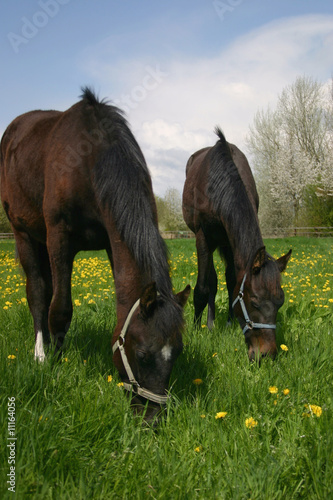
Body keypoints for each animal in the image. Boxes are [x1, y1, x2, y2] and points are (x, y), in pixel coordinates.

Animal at [0, 88, 189, 420]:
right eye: (143, 353)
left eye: (176, 351)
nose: (152, 417)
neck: (88, 161)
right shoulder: (59, 237)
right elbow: (60, 309)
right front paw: (56, 363)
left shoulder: (113, 240)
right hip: (24, 234)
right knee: (38, 294)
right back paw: (40, 353)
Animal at [182, 128, 290, 360]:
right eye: (255, 302)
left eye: (280, 301)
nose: (265, 354)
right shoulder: (203, 238)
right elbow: (202, 287)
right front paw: (196, 328)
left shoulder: (231, 242)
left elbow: (232, 282)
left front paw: (230, 323)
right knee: (211, 282)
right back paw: (209, 323)